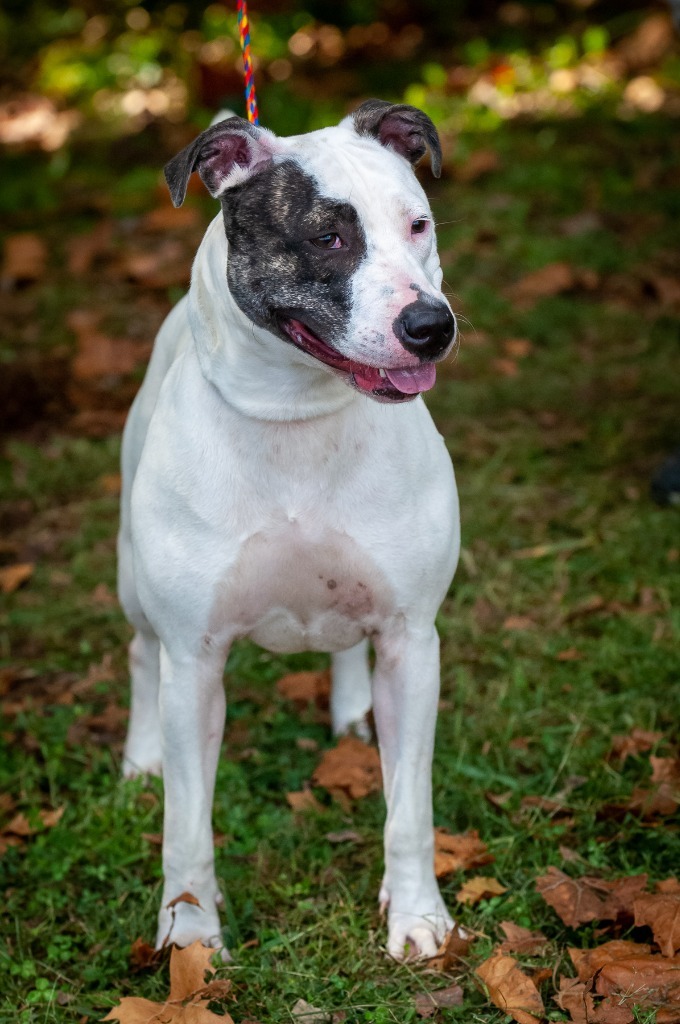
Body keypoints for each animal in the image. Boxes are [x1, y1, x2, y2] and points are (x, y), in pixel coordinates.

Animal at [119, 103, 462, 958]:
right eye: (327, 238)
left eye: (418, 225)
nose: (430, 325)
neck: (296, 414)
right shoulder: (193, 663)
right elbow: (186, 831)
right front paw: (190, 937)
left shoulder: (413, 641)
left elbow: (409, 811)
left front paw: (417, 919)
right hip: (132, 581)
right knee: (138, 652)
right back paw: (138, 760)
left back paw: (354, 717)